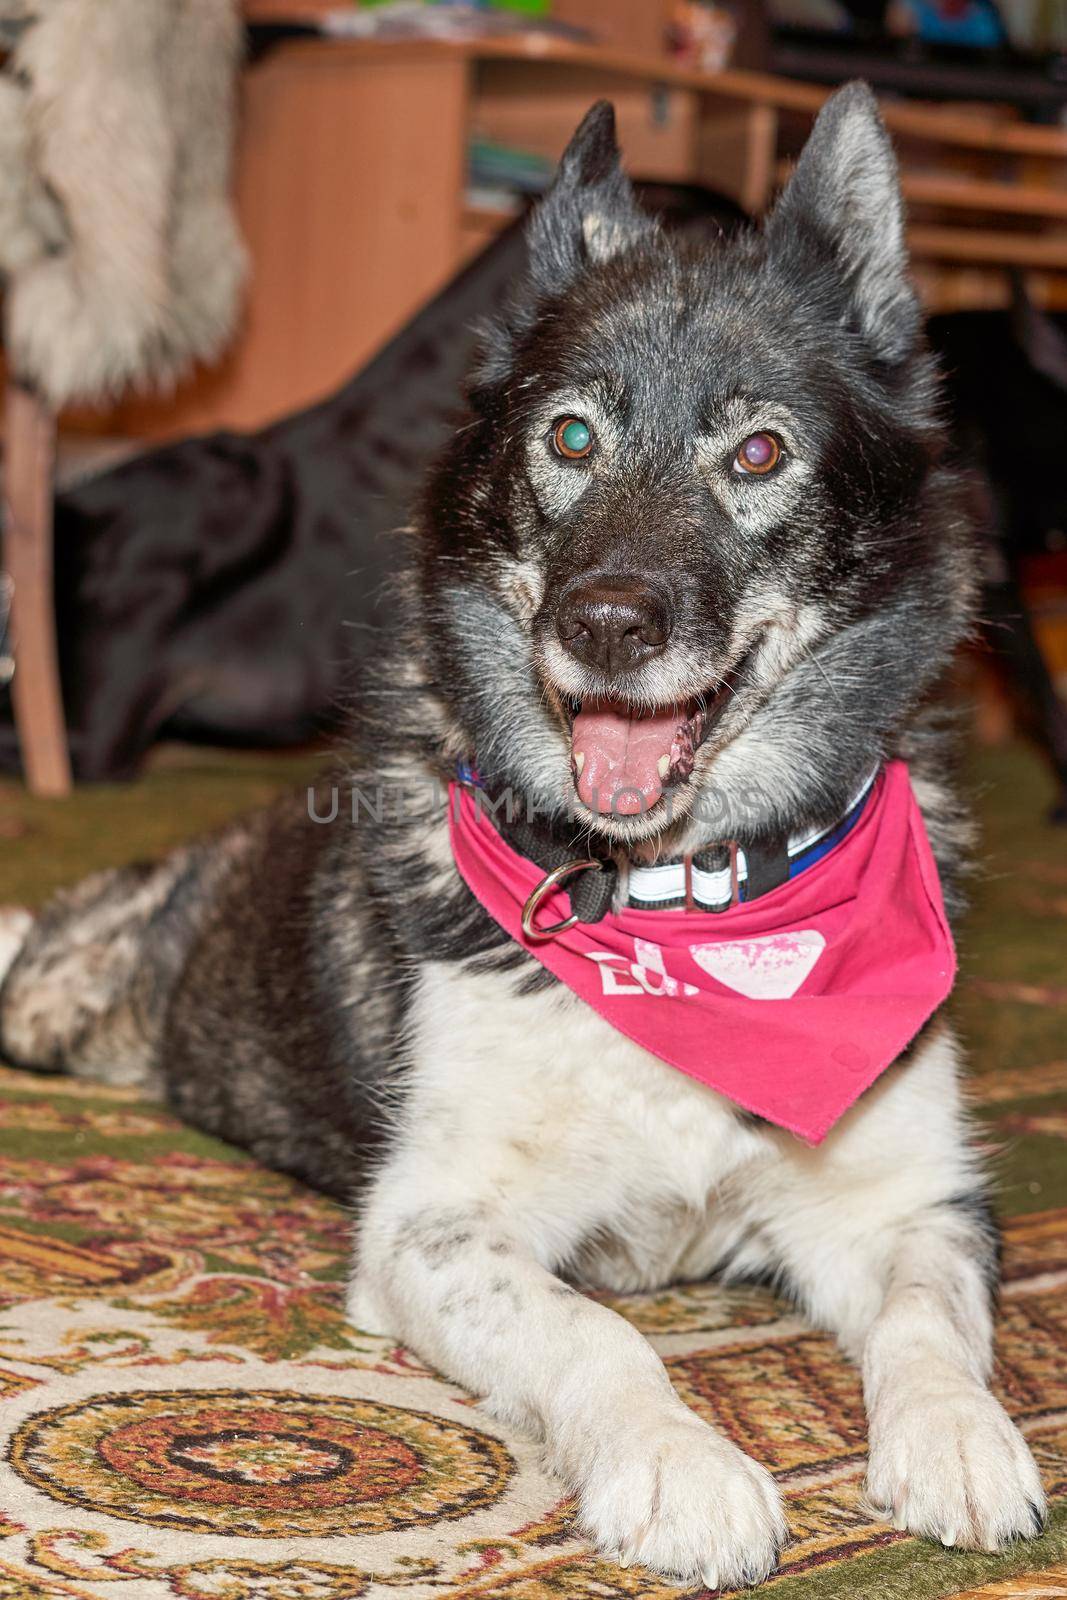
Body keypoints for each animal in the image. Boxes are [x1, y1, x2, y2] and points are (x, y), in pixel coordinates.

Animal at [0, 87, 1049, 1587]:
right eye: (566, 439)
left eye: (757, 453)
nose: (603, 624)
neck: (677, 911)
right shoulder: (438, 1232)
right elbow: (592, 1331)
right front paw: (679, 1462)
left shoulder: (907, 1207)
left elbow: (922, 1322)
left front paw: (958, 1436)